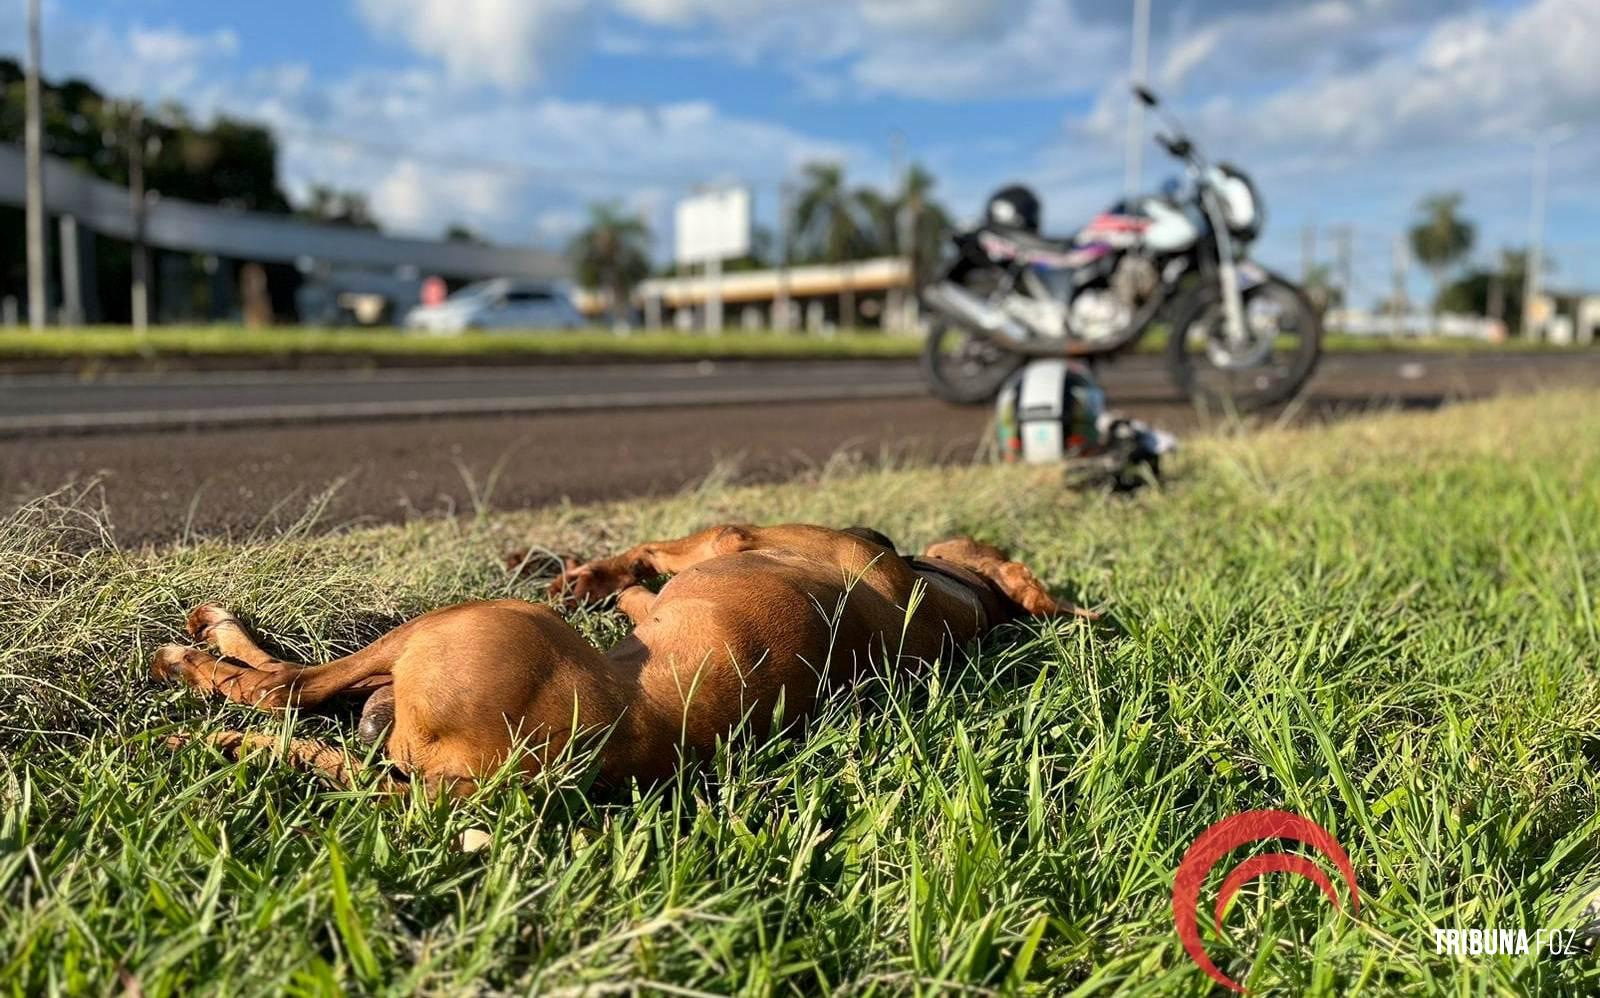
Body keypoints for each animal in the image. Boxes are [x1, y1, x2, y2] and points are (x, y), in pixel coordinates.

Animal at [156, 521, 1094, 796]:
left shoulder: (724, 537)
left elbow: (646, 556)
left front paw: (585, 571)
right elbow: (634, 577)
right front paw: (583, 572)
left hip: (453, 626)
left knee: (287, 689)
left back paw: (200, 653)